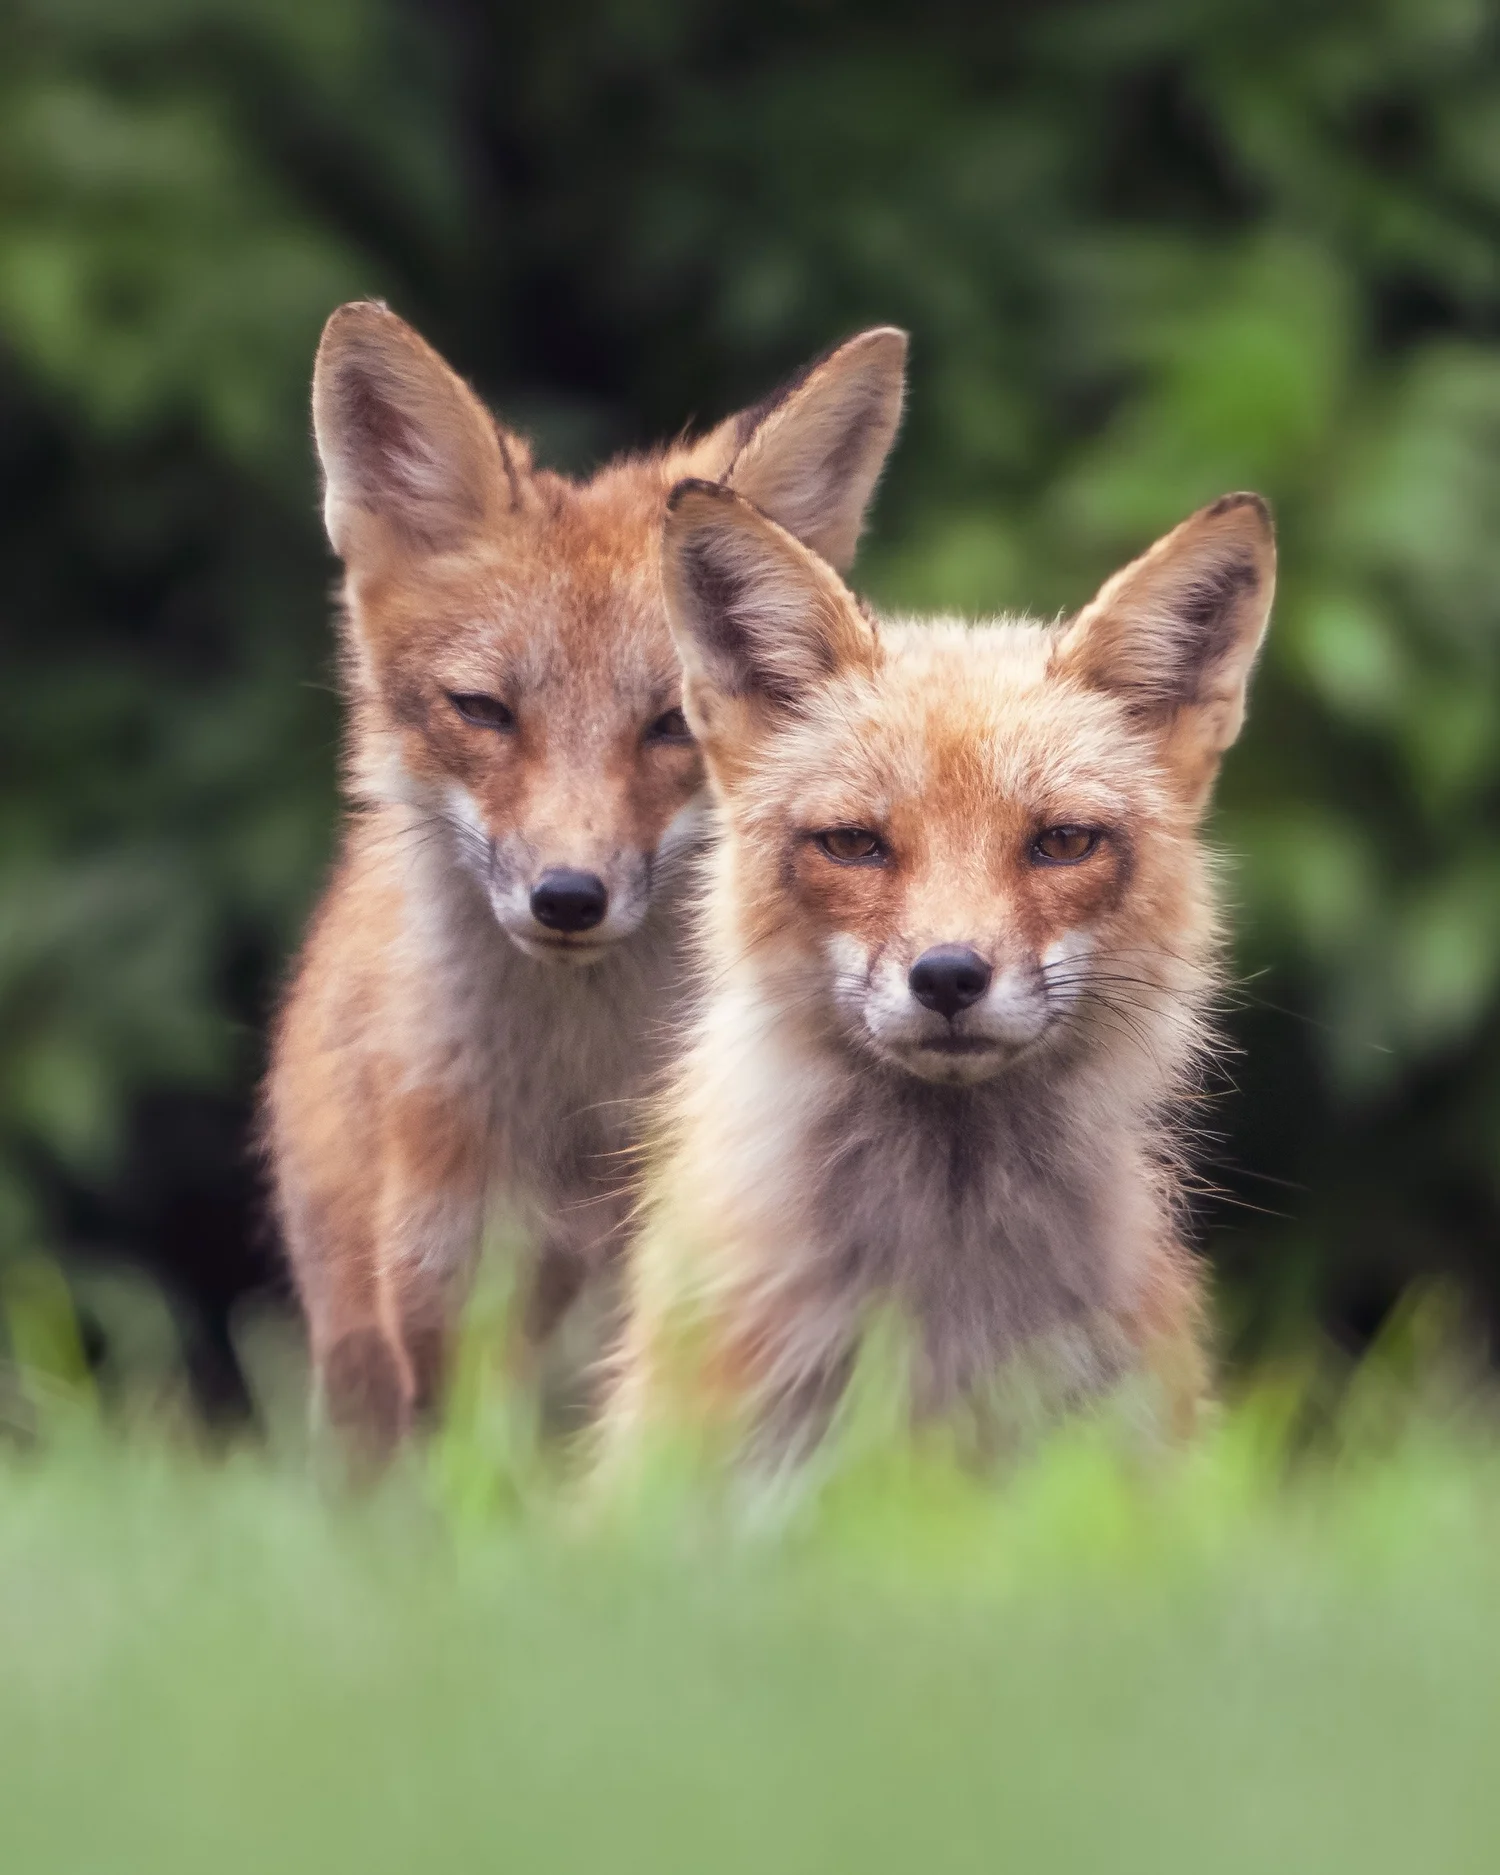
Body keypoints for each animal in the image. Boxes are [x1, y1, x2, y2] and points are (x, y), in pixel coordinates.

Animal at [265, 302, 908, 1457]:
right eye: (483, 711)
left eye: (671, 726)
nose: (568, 897)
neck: (577, 1119)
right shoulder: (451, 1313)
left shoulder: (681, 1301)